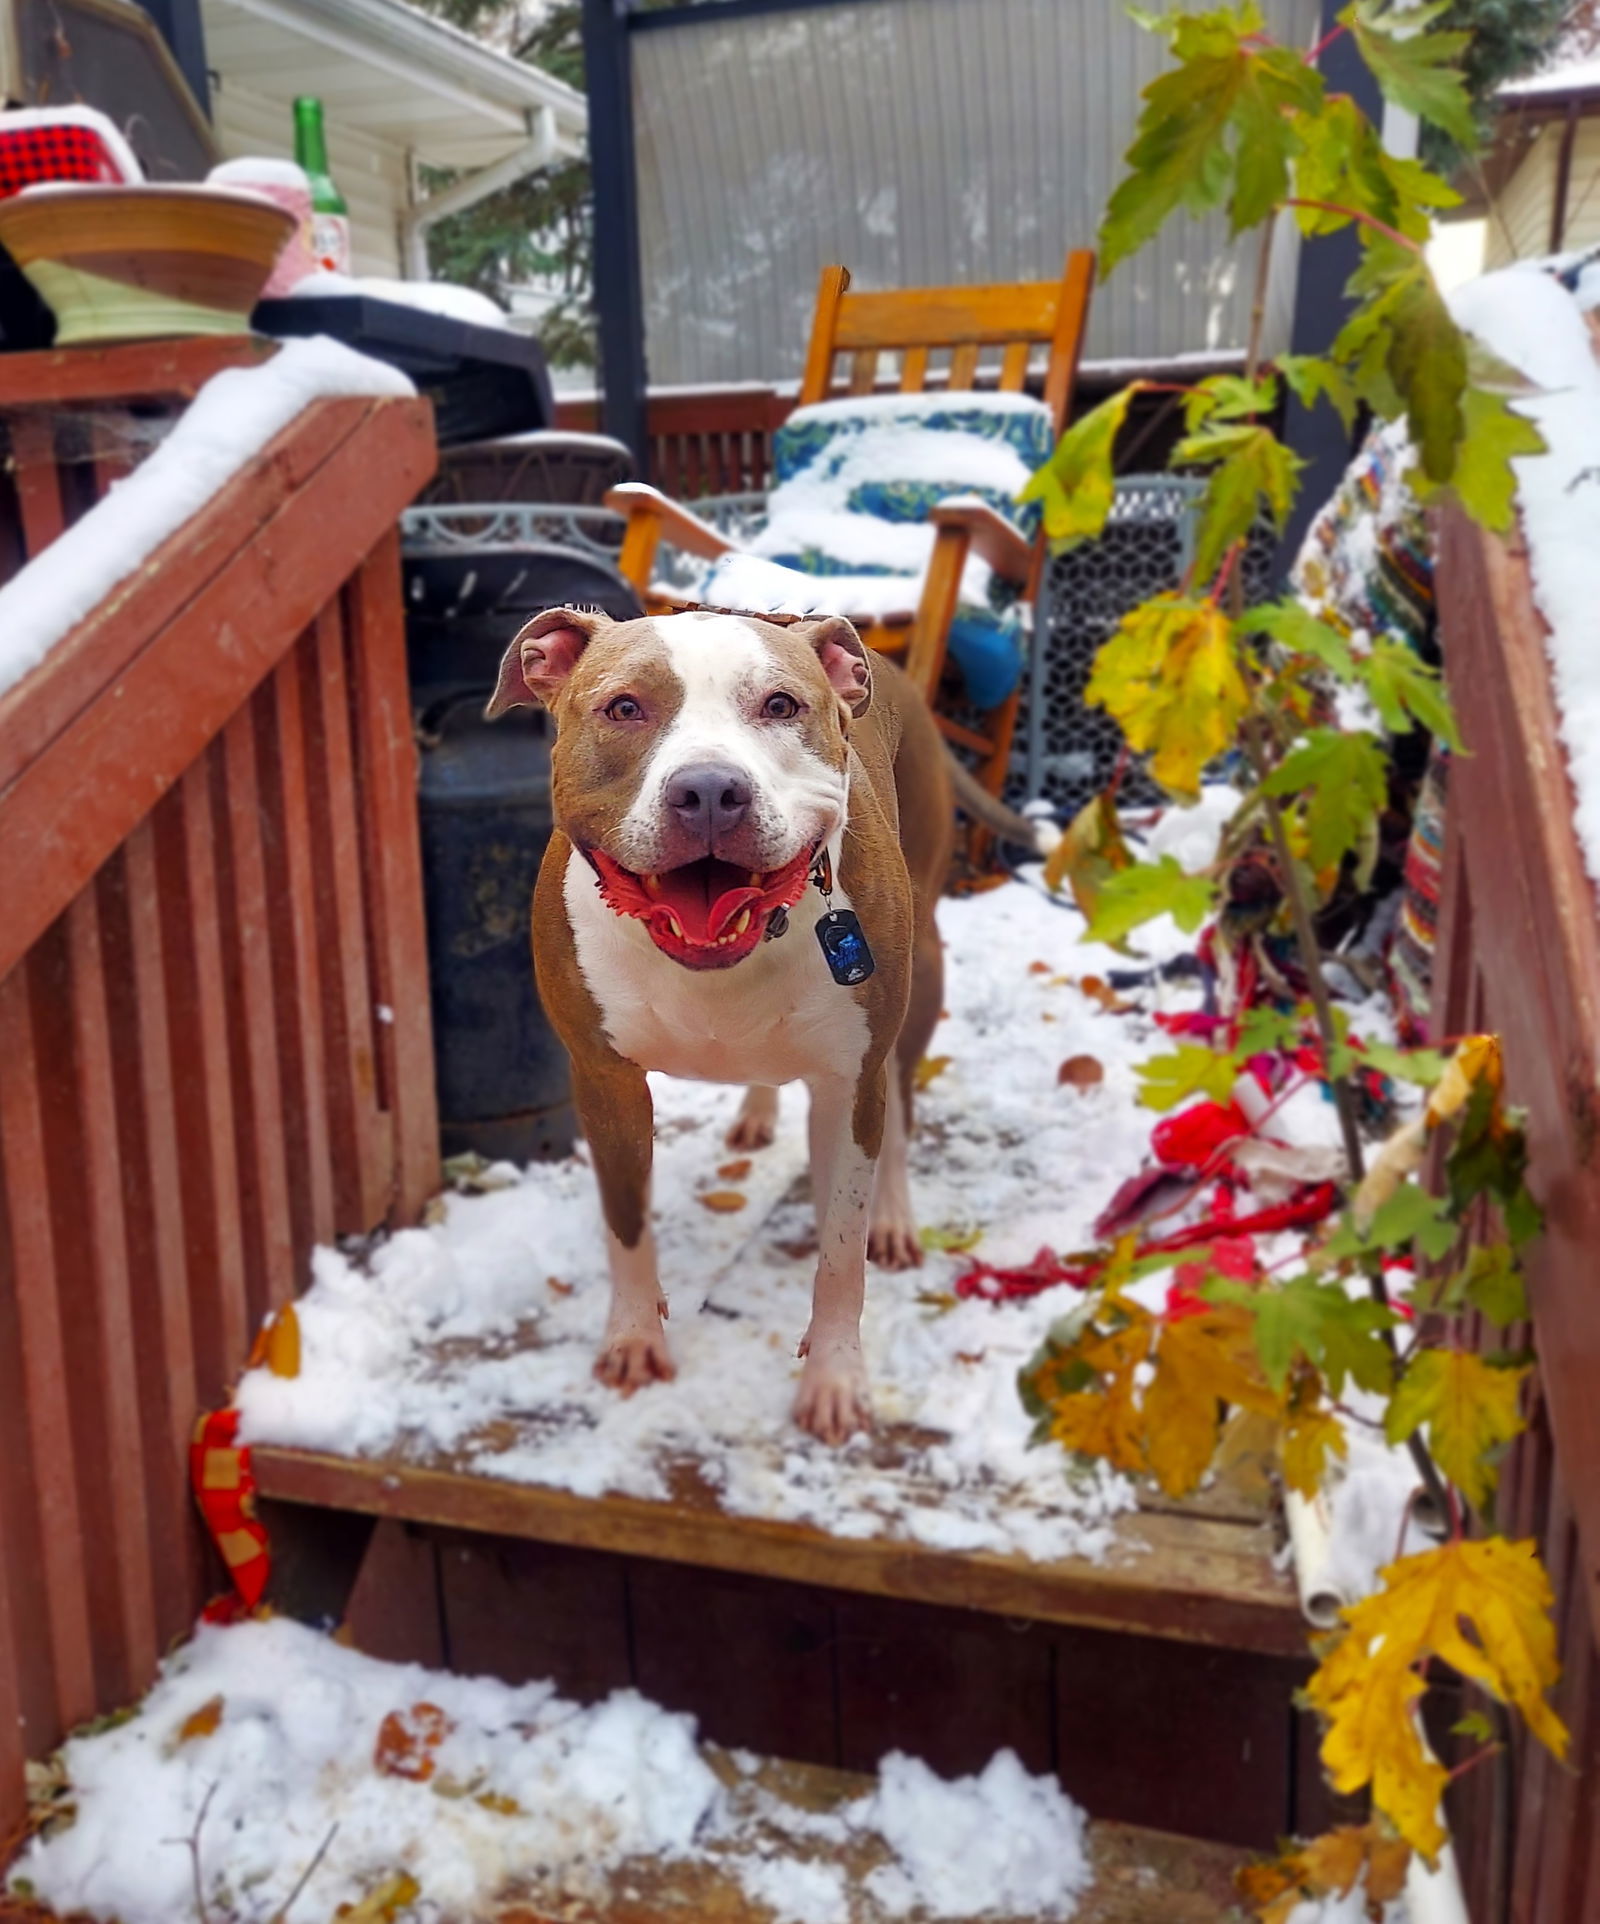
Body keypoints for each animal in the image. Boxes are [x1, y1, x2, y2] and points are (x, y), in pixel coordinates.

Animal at [488, 604, 1030, 1446]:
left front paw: (834, 1382)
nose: (710, 790)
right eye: (623, 707)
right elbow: (626, 1225)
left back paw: (894, 1216)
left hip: (923, 976)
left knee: (902, 1107)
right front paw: (635, 1342)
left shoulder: (848, 1084)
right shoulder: (604, 1081)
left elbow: (840, 1251)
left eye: (780, 705)